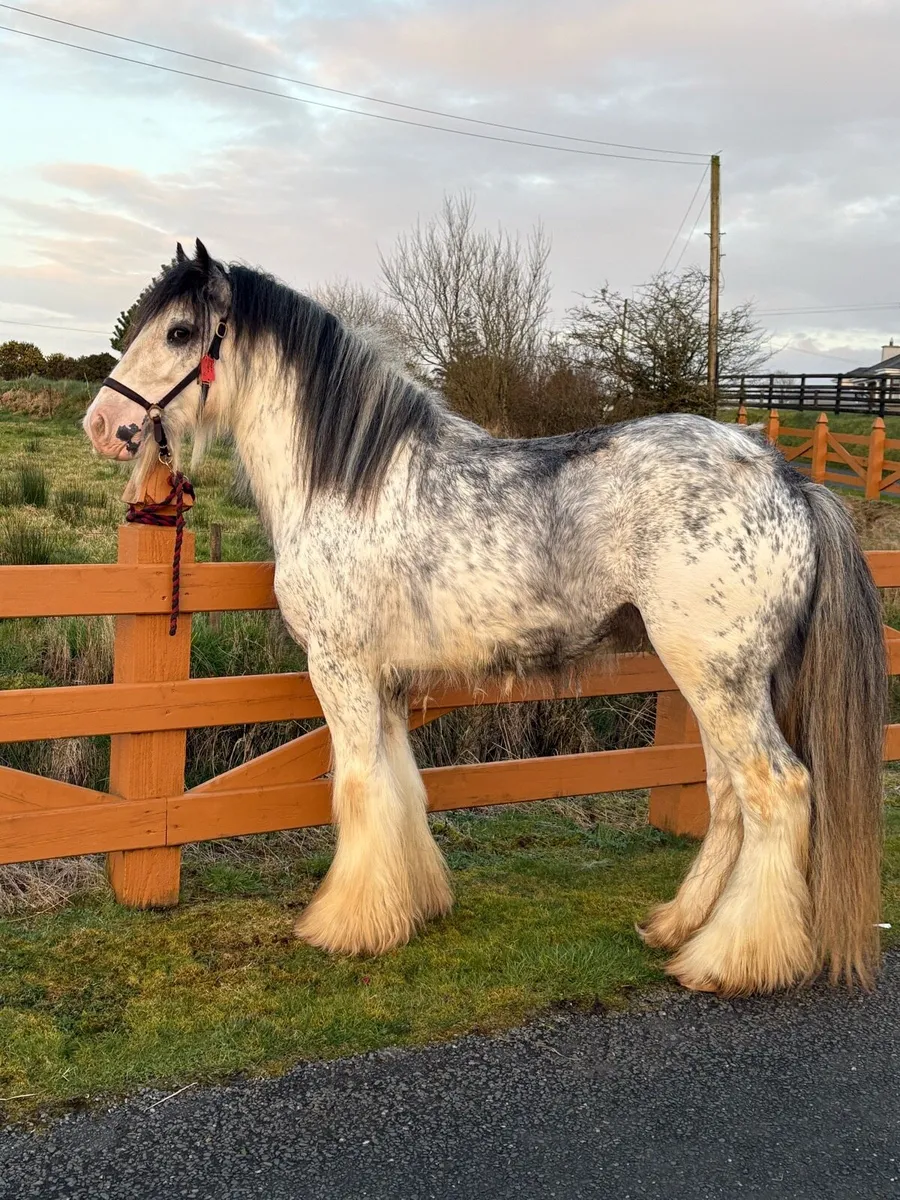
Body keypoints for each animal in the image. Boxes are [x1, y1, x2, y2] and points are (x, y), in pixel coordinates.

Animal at [83, 240, 886, 996]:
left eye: (180, 331)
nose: (103, 422)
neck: (352, 481)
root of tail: (789, 481)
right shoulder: (387, 681)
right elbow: (401, 787)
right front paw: (413, 904)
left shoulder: (339, 669)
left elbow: (359, 787)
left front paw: (348, 925)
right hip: (716, 679)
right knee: (727, 798)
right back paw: (677, 926)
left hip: (720, 679)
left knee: (777, 792)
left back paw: (730, 960)